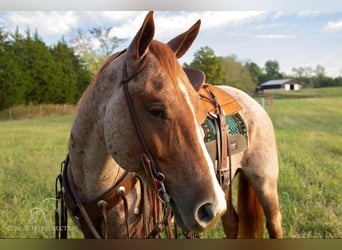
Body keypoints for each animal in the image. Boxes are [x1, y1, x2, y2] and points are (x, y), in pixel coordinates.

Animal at [54, 11, 282, 238]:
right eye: (156, 110)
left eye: (197, 108)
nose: (210, 207)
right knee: (232, 222)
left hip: (264, 180)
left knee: (274, 223)